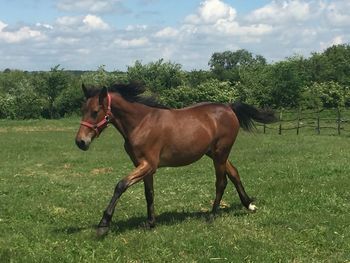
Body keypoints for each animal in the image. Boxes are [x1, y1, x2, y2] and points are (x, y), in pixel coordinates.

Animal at [74, 83, 276, 237]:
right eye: (82, 110)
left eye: (95, 111)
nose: (80, 142)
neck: (141, 123)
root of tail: (229, 107)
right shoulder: (144, 166)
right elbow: (149, 194)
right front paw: (150, 223)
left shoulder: (148, 165)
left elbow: (120, 185)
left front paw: (103, 224)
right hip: (215, 153)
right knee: (234, 173)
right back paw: (249, 204)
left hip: (220, 153)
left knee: (221, 182)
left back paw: (212, 215)